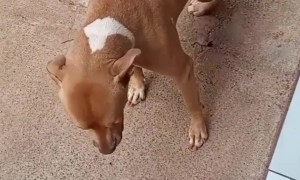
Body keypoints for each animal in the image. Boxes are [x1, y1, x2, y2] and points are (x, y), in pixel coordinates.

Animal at [47, 0, 218, 155]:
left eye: (115, 120)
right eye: (82, 128)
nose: (106, 151)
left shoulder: (183, 70)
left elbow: (192, 104)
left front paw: (197, 129)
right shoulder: (130, 55)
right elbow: (133, 66)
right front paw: (137, 86)